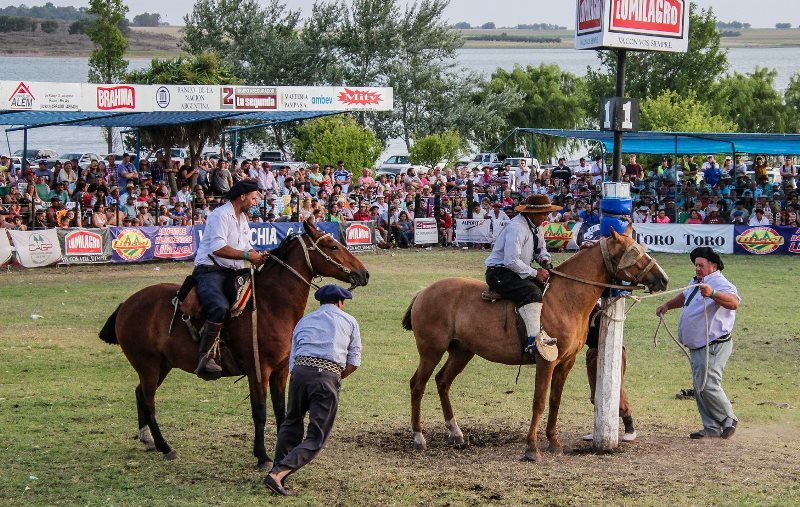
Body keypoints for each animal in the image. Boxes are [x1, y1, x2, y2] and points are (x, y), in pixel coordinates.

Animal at [99, 221, 368, 468]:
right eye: (332, 246)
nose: (364, 273)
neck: (272, 305)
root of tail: (127, 303)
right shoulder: (258, 370)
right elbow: (260, 411)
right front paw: (262, 456)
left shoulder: (280, 370)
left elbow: (281, 410)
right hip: (149, 365)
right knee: (149, 401)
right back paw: (165, 447)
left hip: (161, 365)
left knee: (140, 394)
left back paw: (147, 439)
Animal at [400, 226, 668, 460]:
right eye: (633, 253)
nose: (663, 279)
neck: (566, 298)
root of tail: (423, 292)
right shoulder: (545, 361)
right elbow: (539, 402)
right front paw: (532, 448)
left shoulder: (566, 362)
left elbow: (554, 401)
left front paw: (554, 442)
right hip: (431, 351)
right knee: (418, 384)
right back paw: (418, 436)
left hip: (462, 352)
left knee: (442, 382)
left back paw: (455, 433)